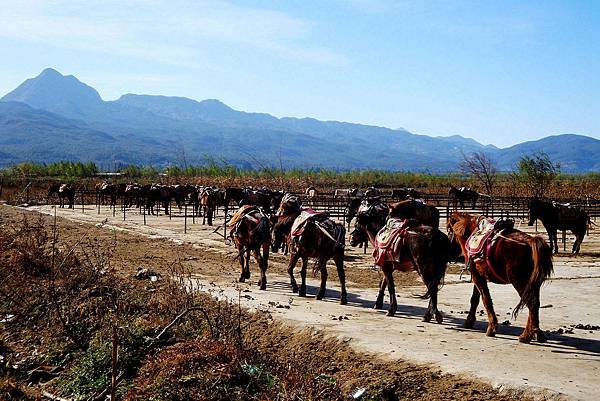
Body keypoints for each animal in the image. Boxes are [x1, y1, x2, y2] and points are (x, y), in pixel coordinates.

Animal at [446, 211, 552, 342]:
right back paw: (536, 333)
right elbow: (475, 299)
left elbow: (486, 299)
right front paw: (469, 321)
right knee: (535, 304)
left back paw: (527, 335)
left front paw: (492, 328)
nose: (448, 252)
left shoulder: (476, 276)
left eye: (449, 230)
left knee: (531, 304)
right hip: (533, 284)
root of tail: (531, 240)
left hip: (519, 282)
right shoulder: (479, 275)